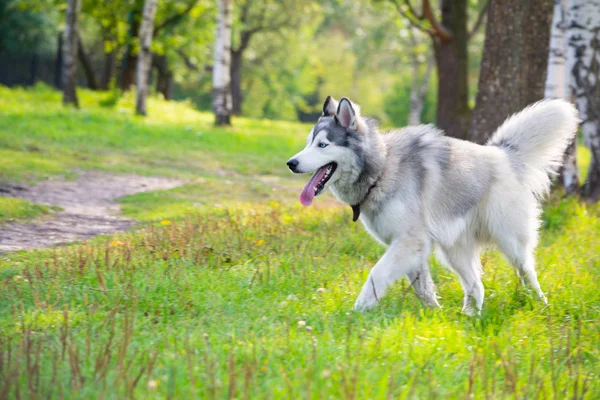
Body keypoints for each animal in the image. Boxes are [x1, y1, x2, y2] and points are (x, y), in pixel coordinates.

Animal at [288, 95, 580, 314]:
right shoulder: (412, 247)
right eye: (308, 143)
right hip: (453, 250)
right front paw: (434, 314)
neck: (382, 170)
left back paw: (541, 305)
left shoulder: (409, 242)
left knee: (528, 273)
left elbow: (376, 276)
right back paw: (468, 317)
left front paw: (356, 312)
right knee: (476, 286)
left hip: (510, 242)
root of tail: (504, 154)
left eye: (323, 145)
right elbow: (422, 288)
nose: (292, 163)